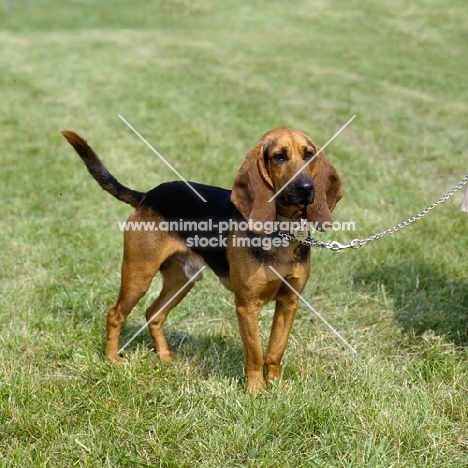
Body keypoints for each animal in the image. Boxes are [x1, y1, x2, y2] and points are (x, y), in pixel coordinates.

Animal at [62, 127, 344, 392]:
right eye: (279, 157)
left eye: (309, 155)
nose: (306, 188)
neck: (282, 230)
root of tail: (146, 195)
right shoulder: (247, 306)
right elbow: (254, 354)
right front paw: (256, 391)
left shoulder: (289, 302)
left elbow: (275, 351)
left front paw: (276, 386)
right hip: (138, 276)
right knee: (115, 314)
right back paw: (112, 359)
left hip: (181, 281)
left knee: (154, 313)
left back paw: (164, 356)